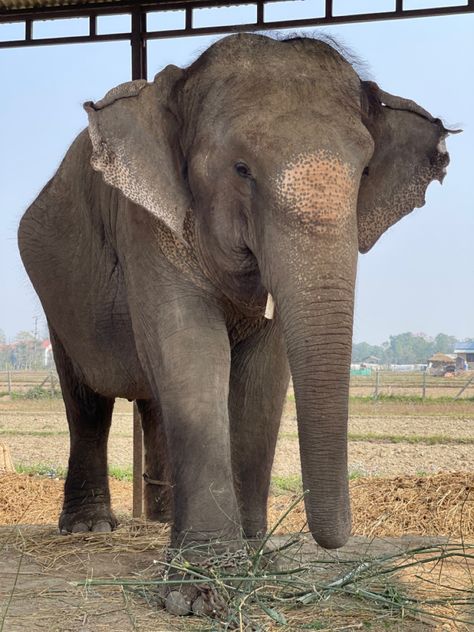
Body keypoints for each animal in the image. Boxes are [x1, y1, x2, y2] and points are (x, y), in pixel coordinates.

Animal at [18, 32, 454, 564]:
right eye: (242, 169)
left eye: (366, 170)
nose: (335, 538)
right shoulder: (145, 224)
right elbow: (190, 346)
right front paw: (206, 571)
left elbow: (263, 371)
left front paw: (251, 550)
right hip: (55, 294)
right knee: (86, 401)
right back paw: (90, 527)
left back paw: (159, 521)